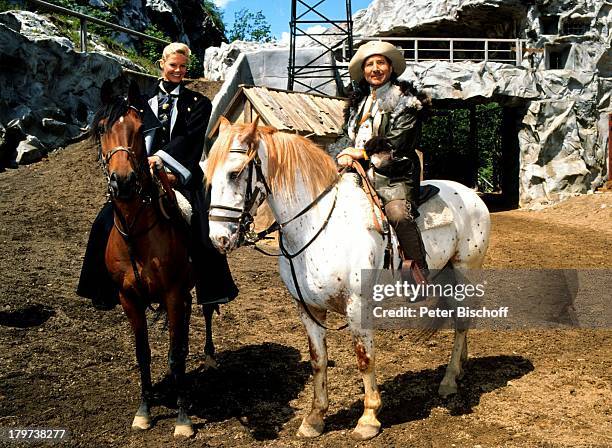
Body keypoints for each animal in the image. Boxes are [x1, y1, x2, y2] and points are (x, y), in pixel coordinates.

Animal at [91, 80, 214, 438]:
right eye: (102, 129)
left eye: (138, 129)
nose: (123, 182)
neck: (137, 232)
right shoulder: (128, 298)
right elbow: (143, 354)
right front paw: (144, 411)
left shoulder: (173, 294)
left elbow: (174, 354)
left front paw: (184, 418)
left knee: (207, 312)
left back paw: (211, 357)